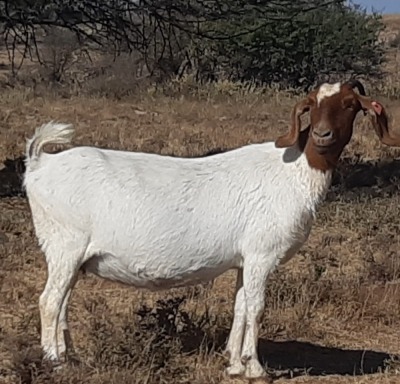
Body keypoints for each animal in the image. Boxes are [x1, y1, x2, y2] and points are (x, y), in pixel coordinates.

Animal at [23, 80, 400, 380]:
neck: (293, 171)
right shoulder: (262, 255)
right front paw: (255, 368)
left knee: (62, 302)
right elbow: (257, 308)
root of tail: (40, 163)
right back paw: (54, 361)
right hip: (64, 245)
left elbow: (240, 306)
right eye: (312, 105)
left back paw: (71, 357)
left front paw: (233, 363)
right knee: (49, 301)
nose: (322, 136)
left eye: (350, 105)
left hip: (74, 256)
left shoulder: (245, 260)